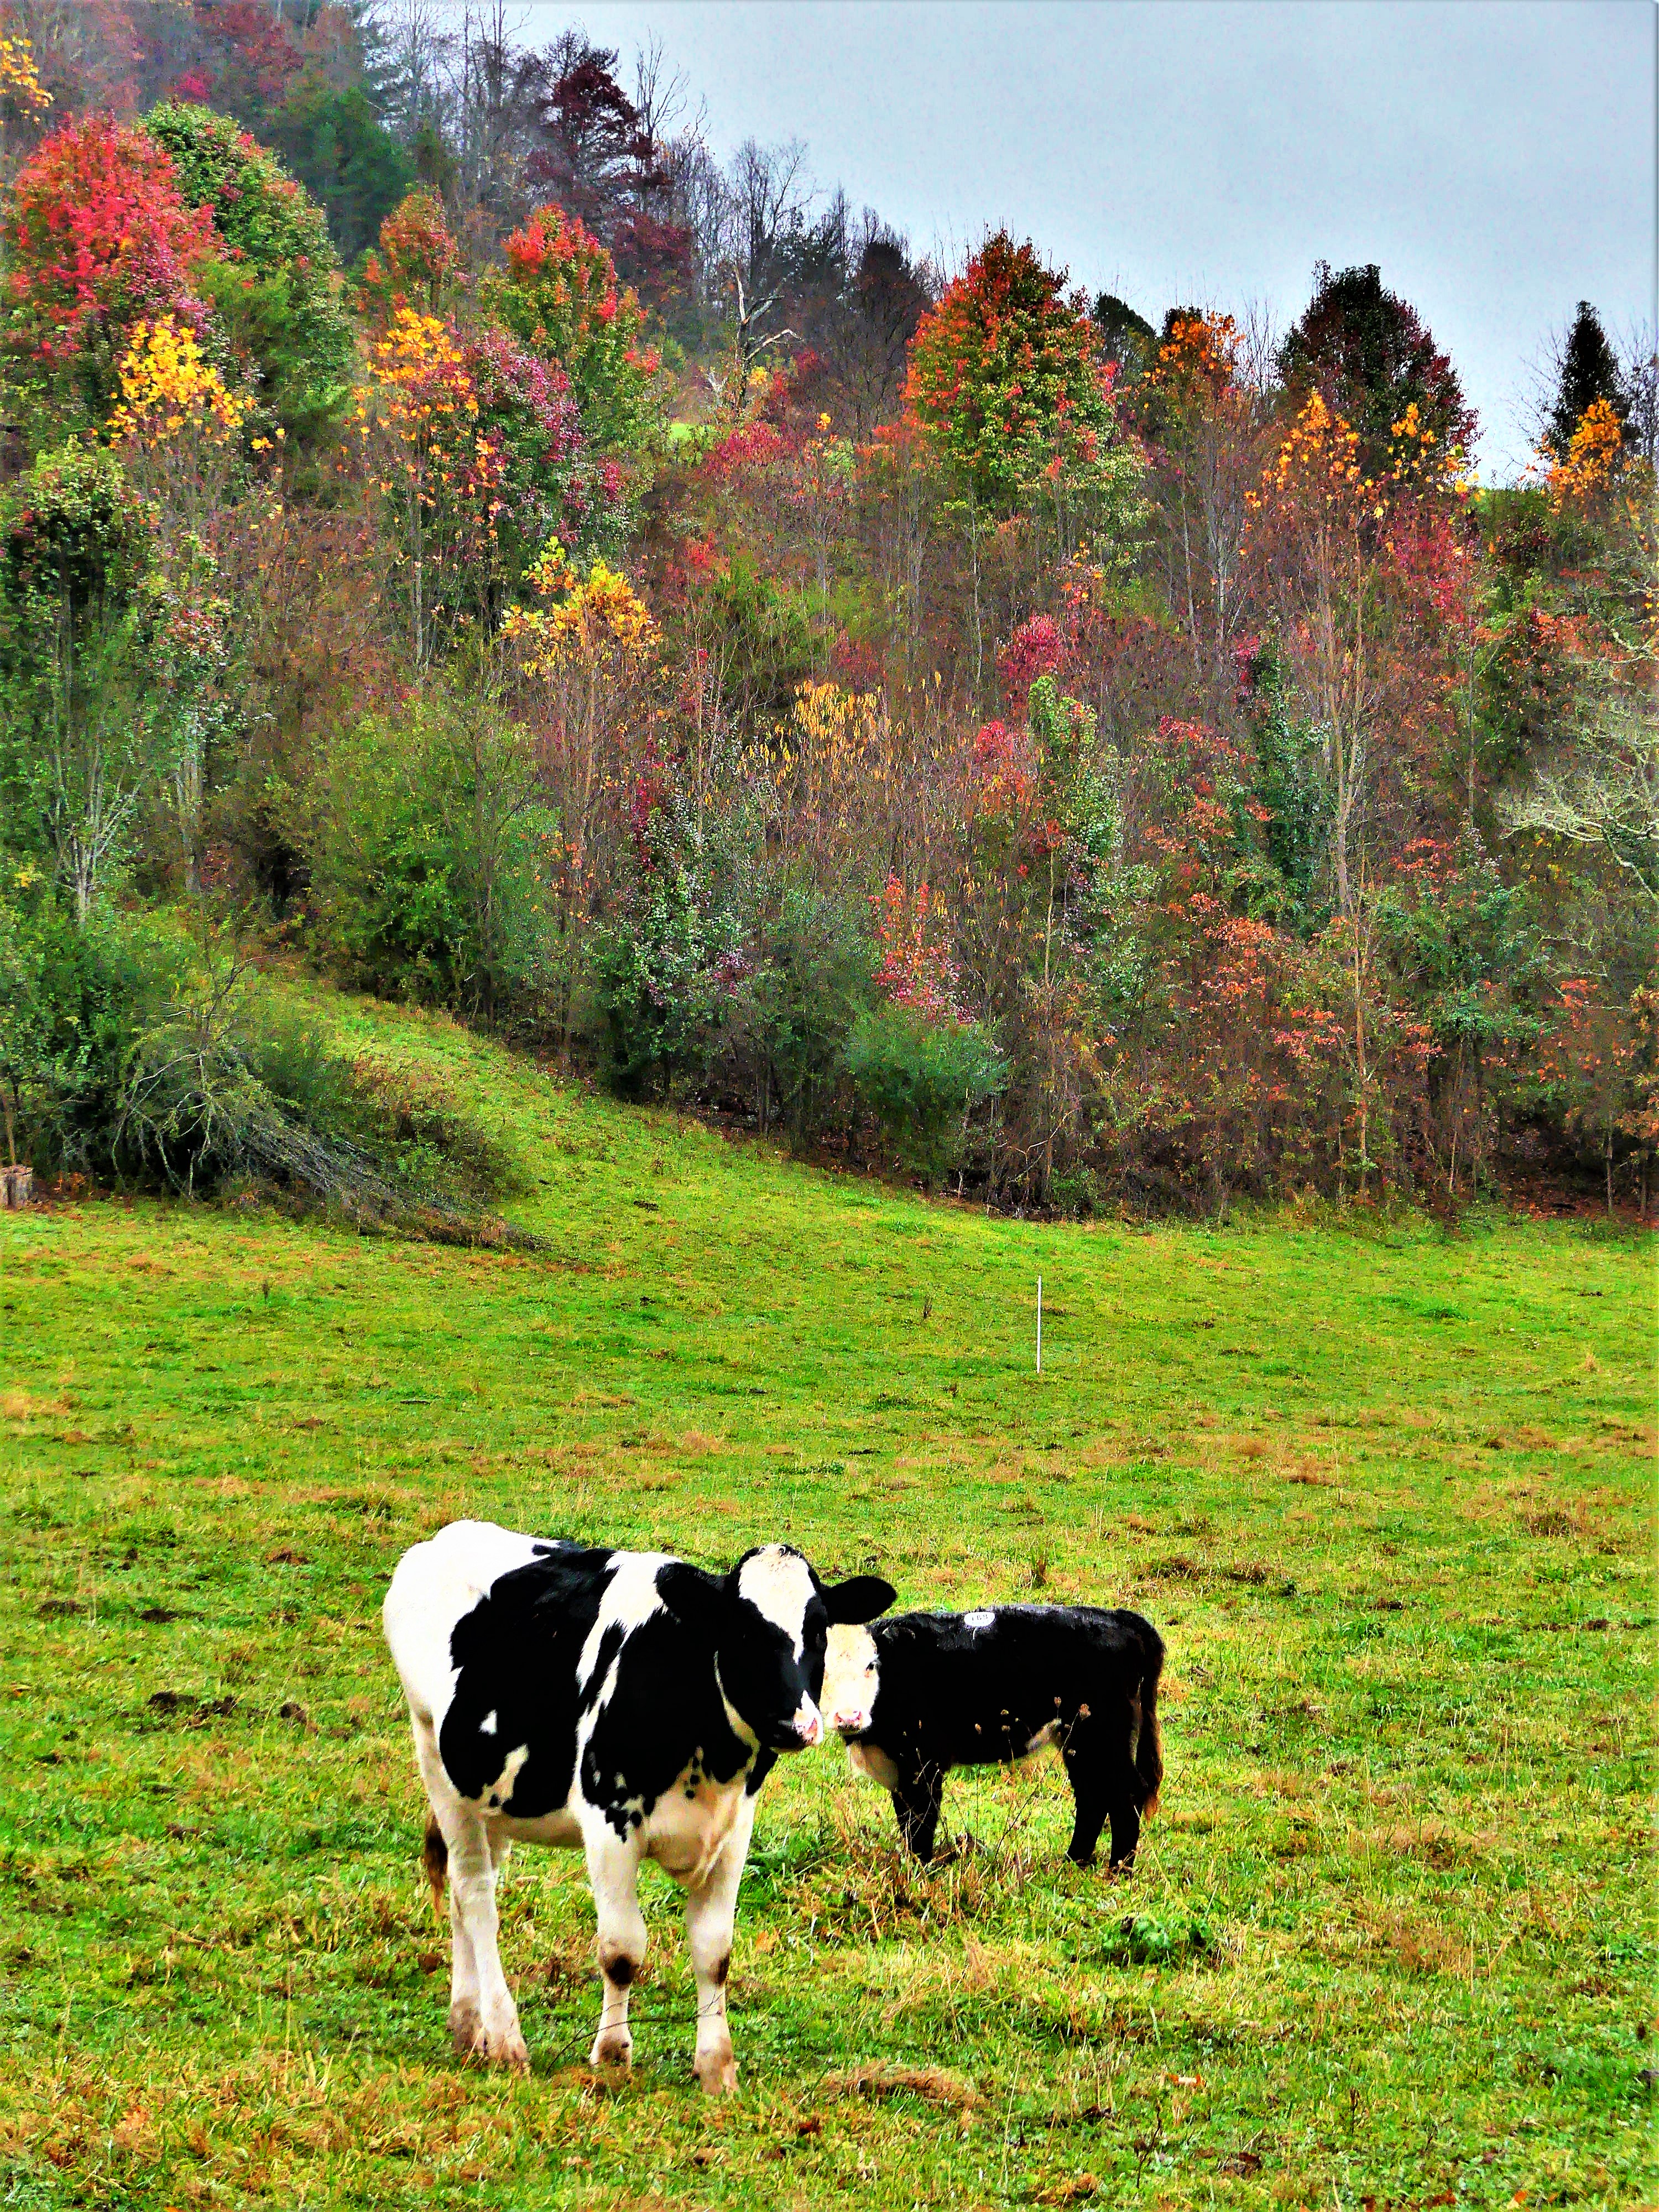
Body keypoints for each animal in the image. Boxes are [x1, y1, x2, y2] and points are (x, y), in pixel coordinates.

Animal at [383, 1520, 894, 2093]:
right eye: (740, 1631)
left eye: (819, 1630)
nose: (794, 1724)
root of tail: (443, 1539)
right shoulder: (608, 1820)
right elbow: (622, 1950)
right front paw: (611, 2055)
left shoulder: (735, 1828)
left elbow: (715, 1952)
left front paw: (717, 2067)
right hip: (435, 1759)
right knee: (476, 1899)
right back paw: (505, 2037)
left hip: (489, 1792)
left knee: (460, 1897)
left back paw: (468, 2028)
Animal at [822, 1603, 1164, 1870]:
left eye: (872, 1665)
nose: (848, 1717)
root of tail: (1117, 1617)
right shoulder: (901, 1769)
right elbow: (907, 1820)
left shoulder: (924, 1763)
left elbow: (921, 1822)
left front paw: (920, 1869)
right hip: (1079, 1743)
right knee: (1093, 1797)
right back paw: (1074, 1861)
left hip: (1104, 1737)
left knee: (1124, 1796)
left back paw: (1118, 1869)